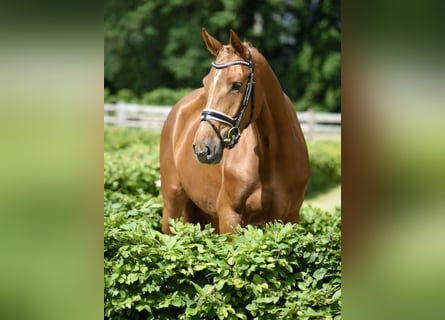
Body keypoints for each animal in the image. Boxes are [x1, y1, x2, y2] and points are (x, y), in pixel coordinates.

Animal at [160, 28, 308, 234]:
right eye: (206, 83)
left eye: (236, 85)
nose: (203, 148)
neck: (272, 156)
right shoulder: (229, 215)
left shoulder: (288, 219)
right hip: (172, 203)